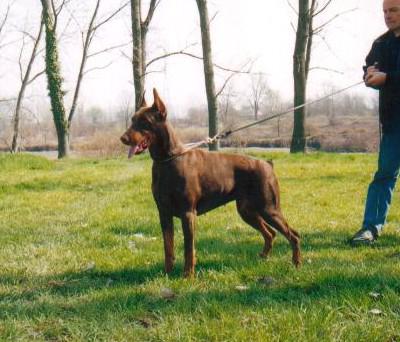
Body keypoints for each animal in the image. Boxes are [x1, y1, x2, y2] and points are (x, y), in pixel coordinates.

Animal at [120, 89, 302, 278]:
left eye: (144, 122)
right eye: (132, 119)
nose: (123, 138)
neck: (167, 160)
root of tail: (267, 164)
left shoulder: (188, 213)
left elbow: (189, 248)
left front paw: (188, 275)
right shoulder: (163, 212)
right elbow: (168, 246)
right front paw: (167, 273)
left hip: (269, 208)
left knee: (293, 235)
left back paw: (296, 263)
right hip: (247, 210)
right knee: (270, 233)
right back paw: (263, 257)